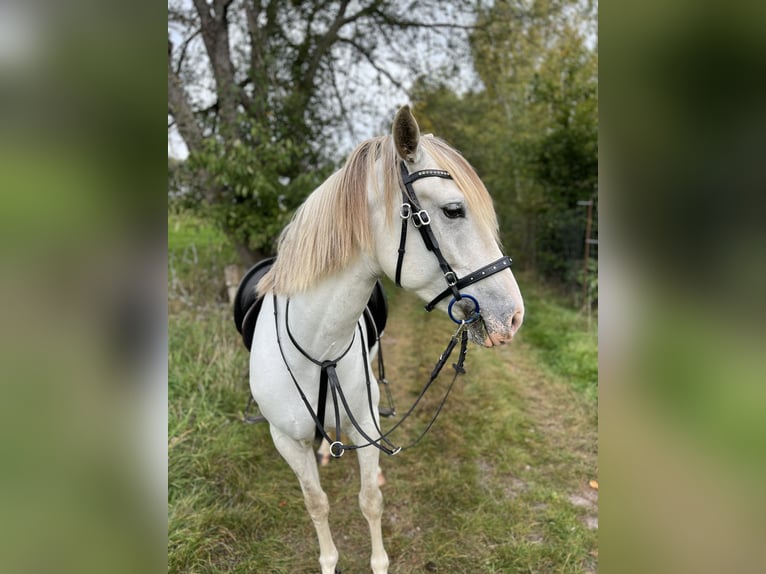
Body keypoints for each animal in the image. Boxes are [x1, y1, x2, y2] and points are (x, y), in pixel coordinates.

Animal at [249, 106, 524, 572]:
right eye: (453, 210)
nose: (514, 316)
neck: (317, 349)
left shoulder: (366, 426)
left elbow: (371, 500)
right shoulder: (286, 441)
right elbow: (316, 503)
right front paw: (328, 560)